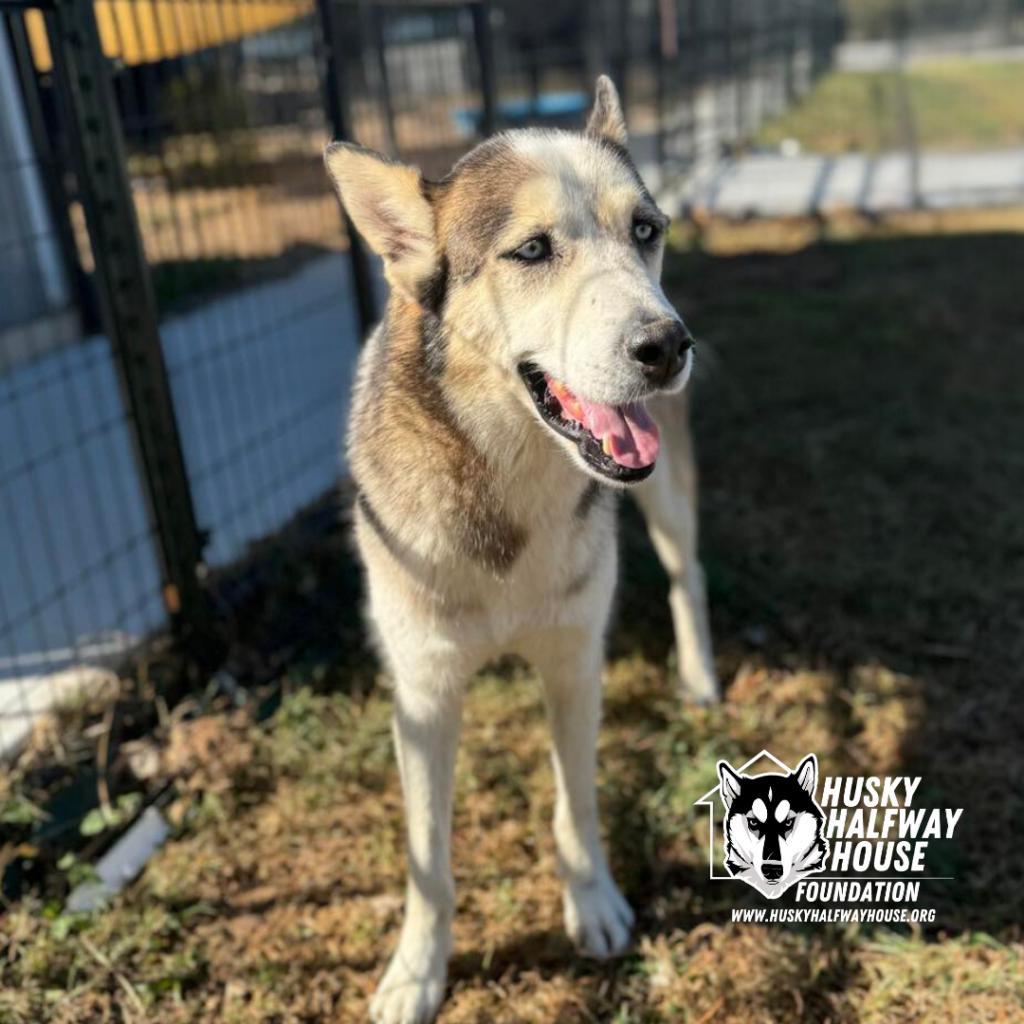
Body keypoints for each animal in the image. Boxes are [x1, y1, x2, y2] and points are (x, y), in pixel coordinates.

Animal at [327, 75, 720, 1019]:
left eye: (644, 230)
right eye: (533, 250)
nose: (666, 346)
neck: (505, 472)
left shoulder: (574, 664)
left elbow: (576, 809)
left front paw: (594, 906)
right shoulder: (423, 696)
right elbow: (428, 865)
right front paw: (417, 972)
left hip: (669, 496)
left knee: (687, 573)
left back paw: (698, 676)